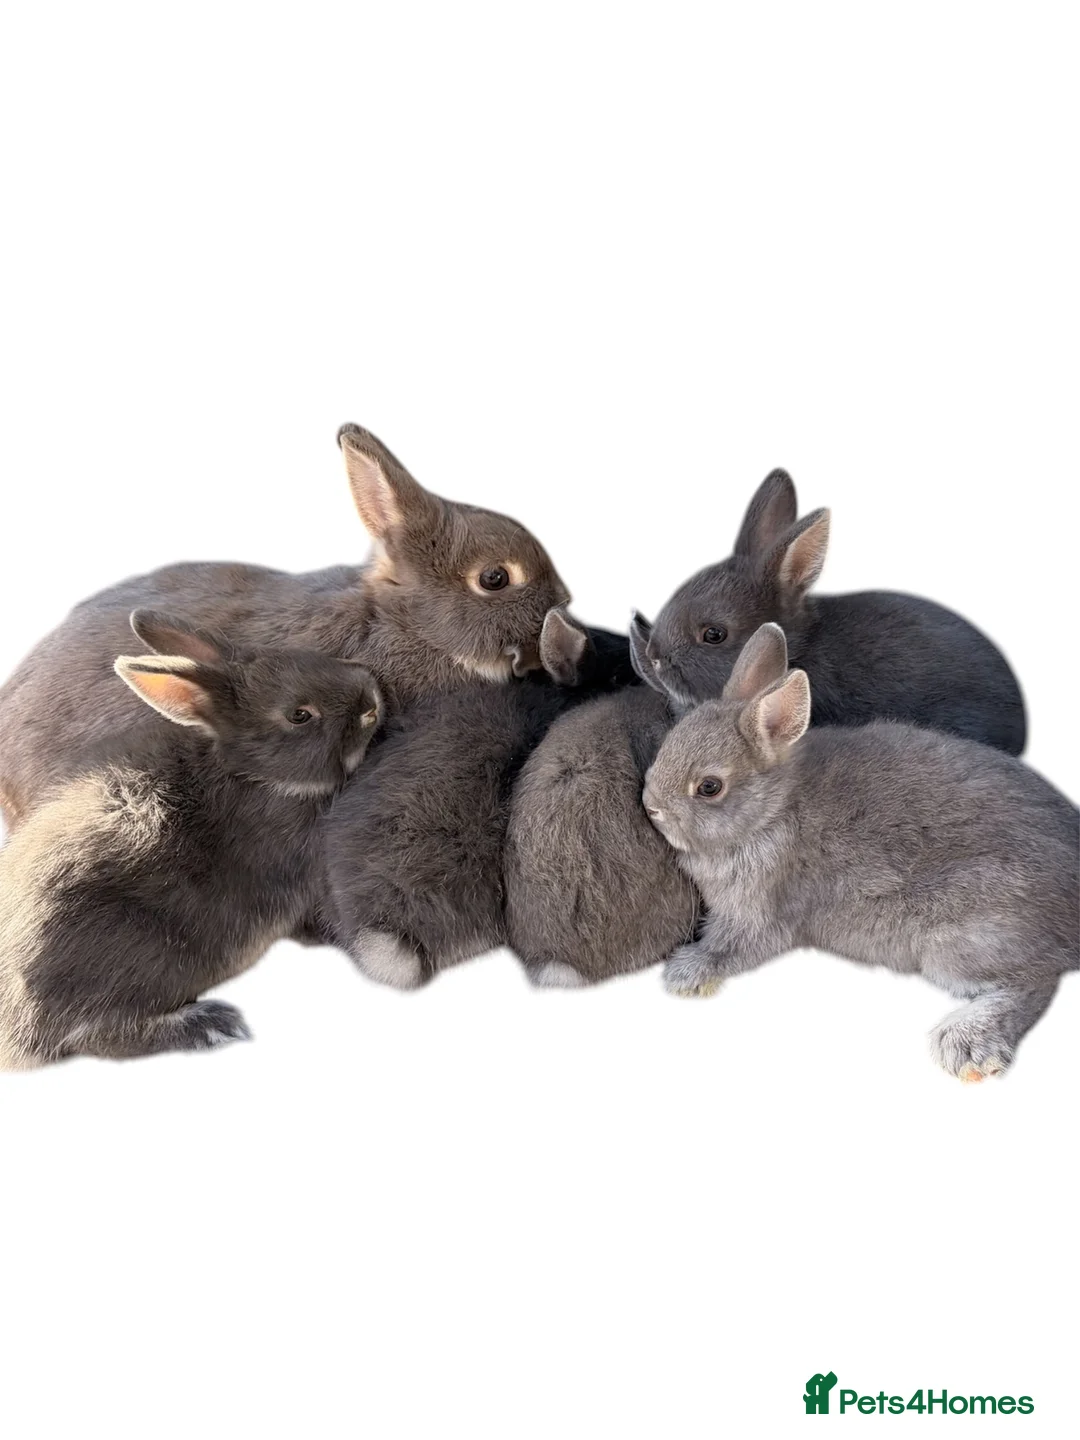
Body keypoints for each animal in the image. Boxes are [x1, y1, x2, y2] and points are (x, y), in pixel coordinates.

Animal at [0, 611, 383, 1067]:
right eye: (299, 715)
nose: (372, 700)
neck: (255, 774)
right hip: (144, 955)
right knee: (92, 1034)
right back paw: (208, 1025)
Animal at [643, 623, 1078, 1081]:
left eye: (709, 787)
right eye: (667, 745)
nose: (650, 805)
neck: (772, 810)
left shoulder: (761, 911)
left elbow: (734, 947)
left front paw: (686, 971)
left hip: (960, 940)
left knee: (1037, 979)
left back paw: (967, 1043)